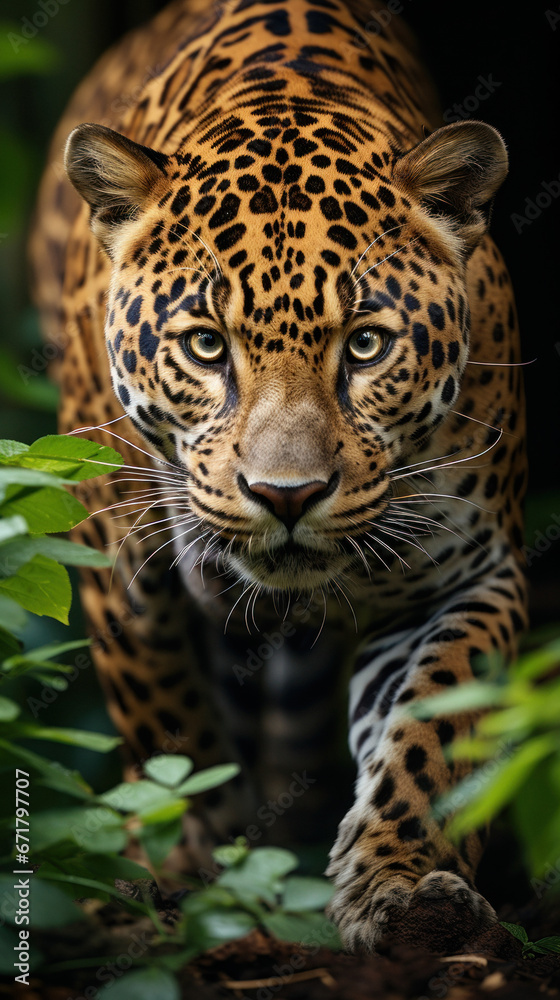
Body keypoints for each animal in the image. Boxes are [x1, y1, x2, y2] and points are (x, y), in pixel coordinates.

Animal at [30, 0, 527, 952]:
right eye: (205, 345)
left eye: (365, 345)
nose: (285, 496)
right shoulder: (117, 571)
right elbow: (172, 729)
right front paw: (197, 862)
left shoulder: (469, 575)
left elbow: (436, 725)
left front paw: (403, 890)